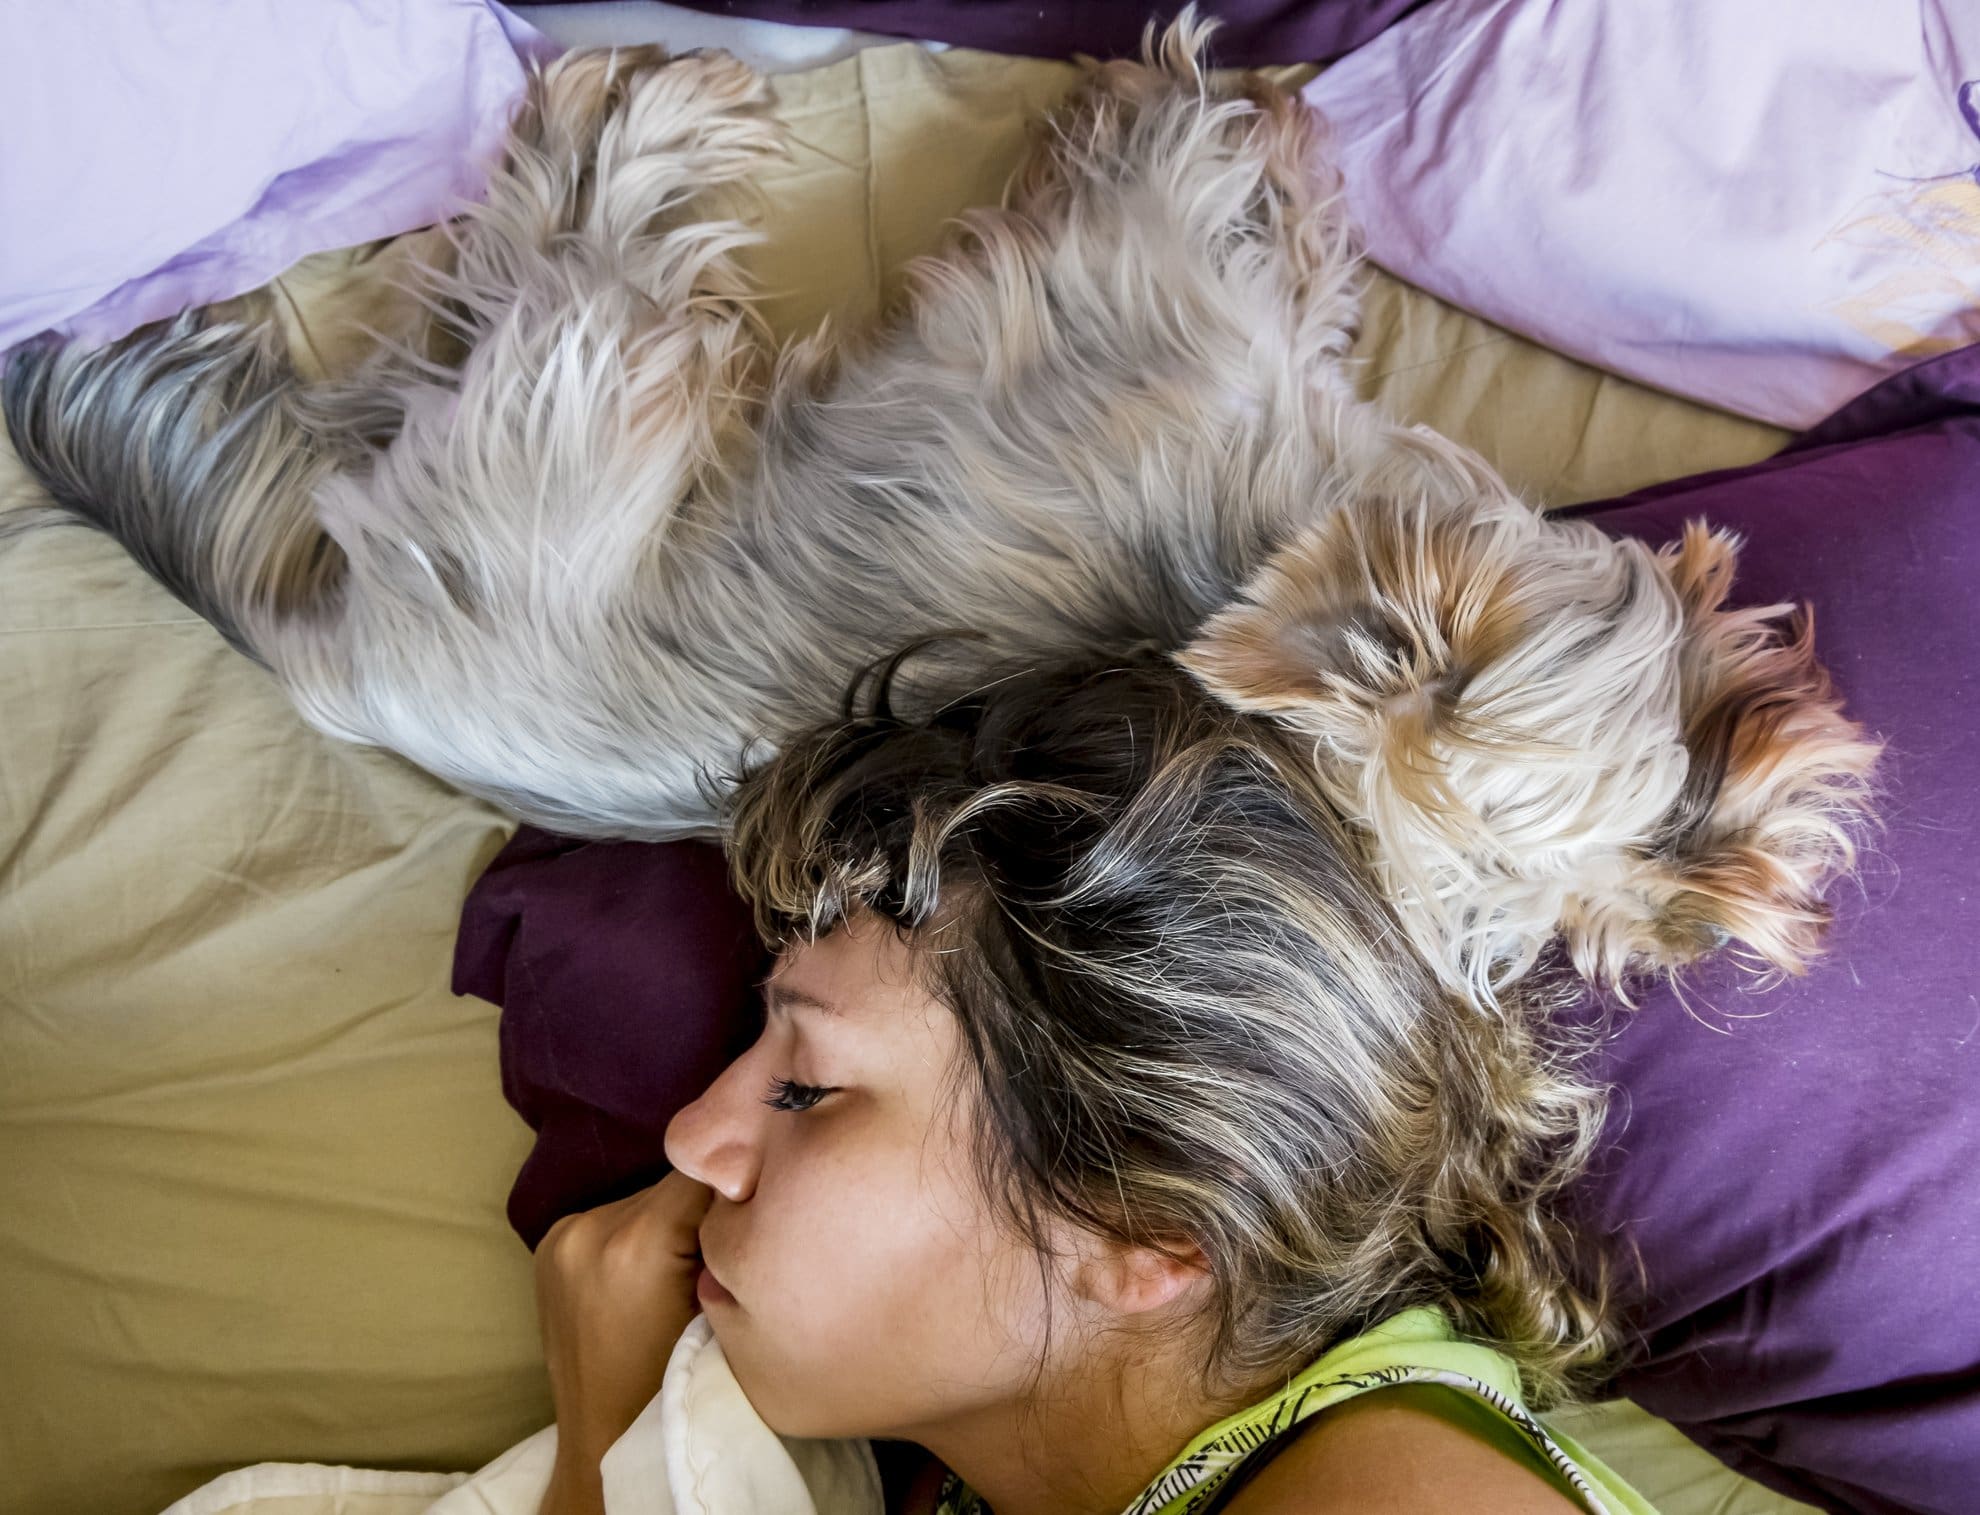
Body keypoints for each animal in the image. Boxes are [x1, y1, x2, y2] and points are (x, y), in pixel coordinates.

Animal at [0, 20, 1877, 1006]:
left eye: (1604, 914)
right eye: (1684, 771)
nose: (1762, 904)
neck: (1280, 534)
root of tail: (326, 661)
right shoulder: (1142, 271)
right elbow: (1200, 157)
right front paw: (1265, 141)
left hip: (565, 397)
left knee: (500, 289)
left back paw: (631, 110)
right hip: (584, 398)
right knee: (527, 267)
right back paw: (646, 101)